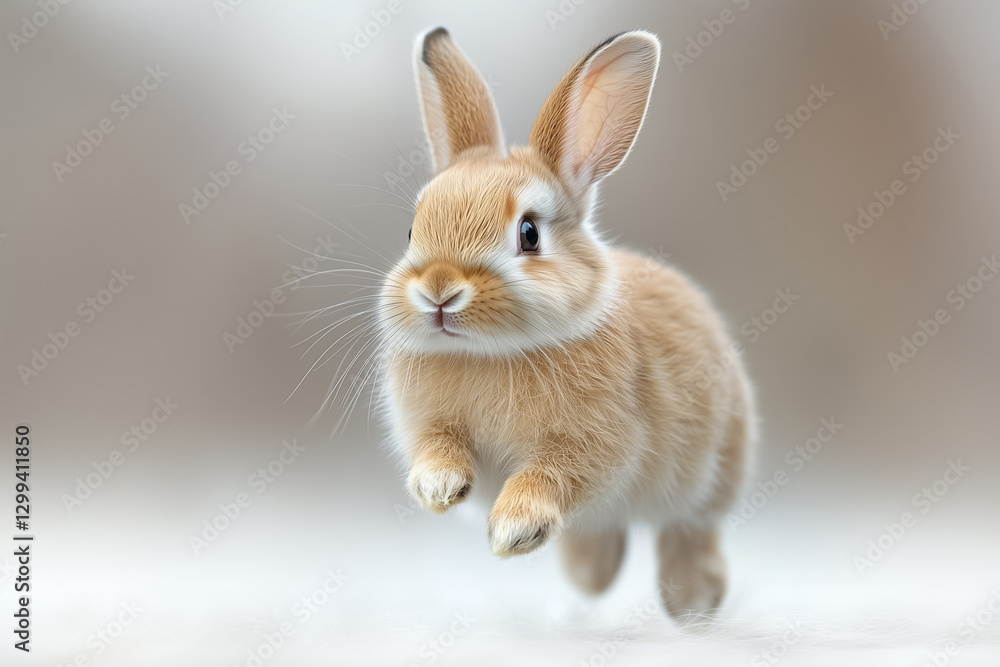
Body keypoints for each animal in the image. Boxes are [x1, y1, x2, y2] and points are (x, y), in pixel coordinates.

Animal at [376, 27, 755, 620]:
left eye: (529, 233)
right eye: (413, 230)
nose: (438, 290)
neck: (493, 353)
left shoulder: (598, 444)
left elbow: (550, 474)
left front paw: (513, 529)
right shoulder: (431, 424)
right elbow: (439, 447)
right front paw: (439, 488)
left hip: (708, 478)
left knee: (687, 531)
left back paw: (693, 605)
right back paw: (589, 579)